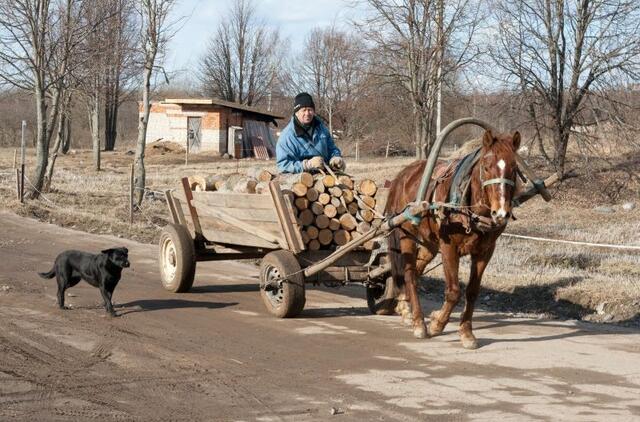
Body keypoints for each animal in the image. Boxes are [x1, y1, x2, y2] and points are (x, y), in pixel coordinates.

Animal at [384, 130, 520, 348]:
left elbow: (472, 292)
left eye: (514, 168)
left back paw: (405, 306)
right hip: (407, 235)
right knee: (410, 275)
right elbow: (454, 291)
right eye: (486, 166)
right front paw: (437, 324)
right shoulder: (449, 247)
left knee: (417, 269)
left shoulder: (485, 251)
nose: (501, 212)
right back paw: (419, 322)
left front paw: (466, 333)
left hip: (429, 242)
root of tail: (403, 175)